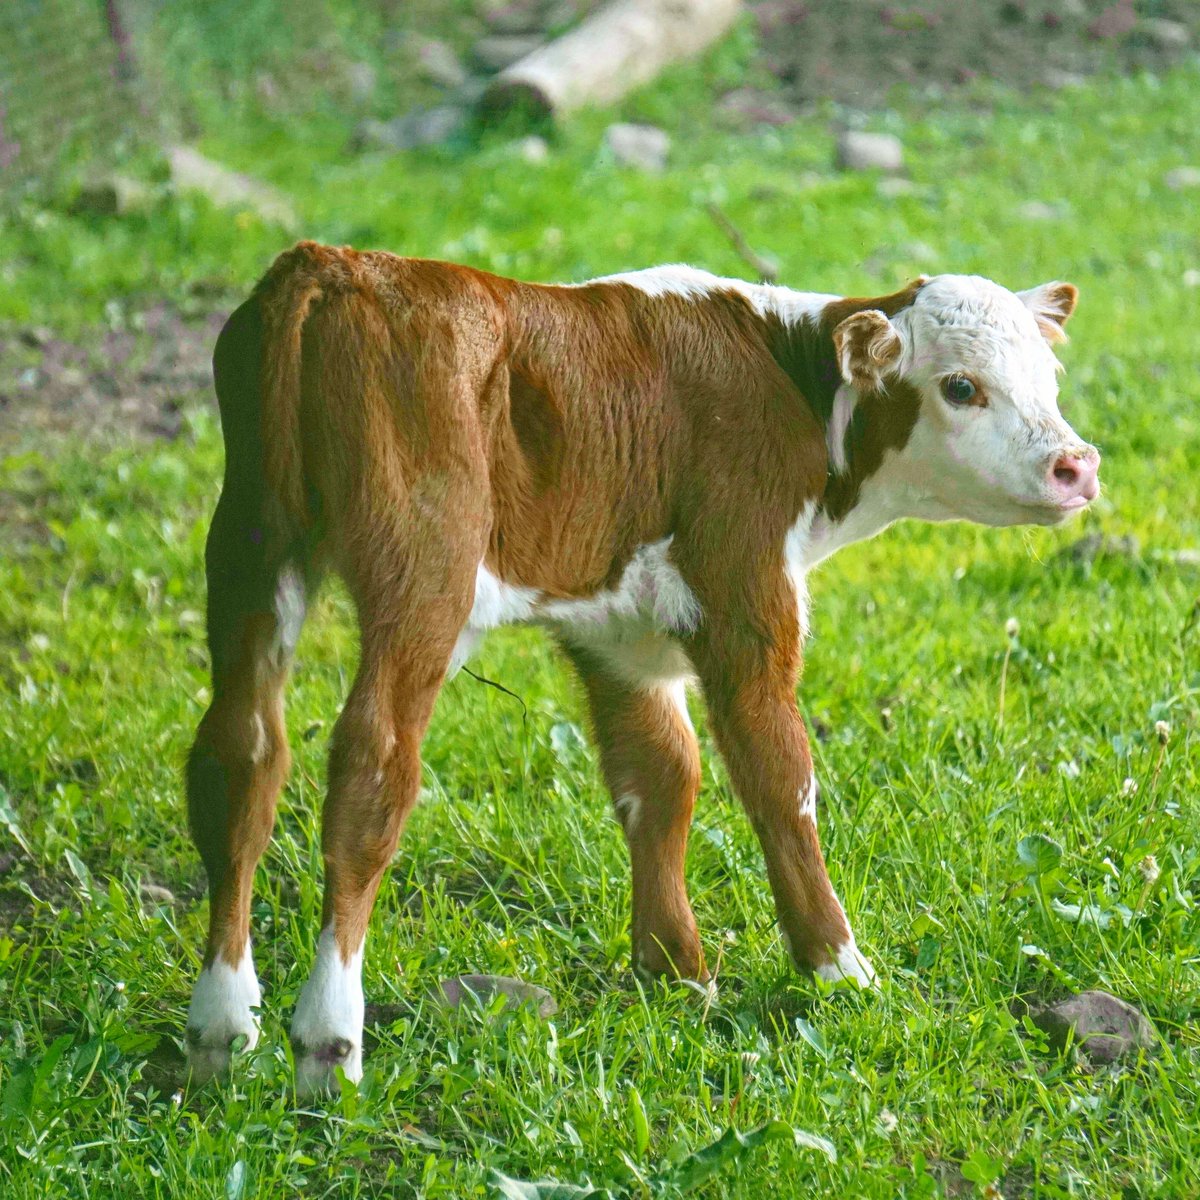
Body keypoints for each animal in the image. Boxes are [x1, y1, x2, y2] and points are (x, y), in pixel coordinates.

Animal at [183, 243, 1099, 1091]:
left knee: (240, 755)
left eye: (1050, 377)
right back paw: (328, 1037)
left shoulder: (621, 638)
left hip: (248, 547)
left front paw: (676, 973)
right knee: (373, 769)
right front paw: (840, 969)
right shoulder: (744, 591)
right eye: (960, 386)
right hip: (422, 568)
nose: (1077, 464)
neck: (790, 385)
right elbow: (779, 777)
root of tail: (335, 267)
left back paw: (222, 1024)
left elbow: (660, 777)